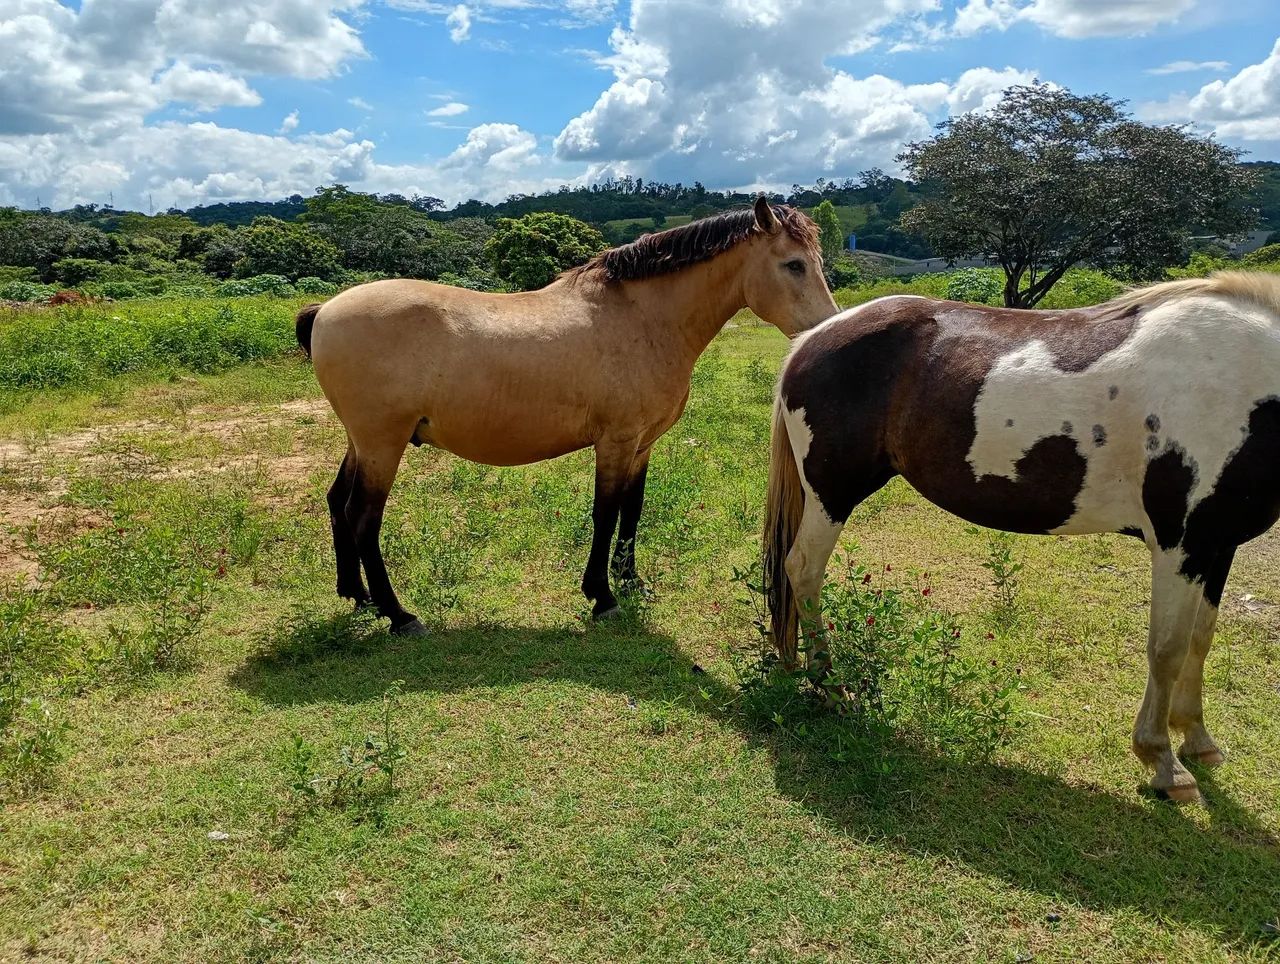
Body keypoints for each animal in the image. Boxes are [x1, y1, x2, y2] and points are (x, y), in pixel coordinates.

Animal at [298, 198, 835, 636]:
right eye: (793, 265)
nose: (825, 332)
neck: (642, 319)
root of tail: (325, 310)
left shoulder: (642, 444)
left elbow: (632, 509)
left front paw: (629, 578)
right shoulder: (616, 441)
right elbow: (605, 513)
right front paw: (602, 596)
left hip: (363, 443)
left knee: (337, 502)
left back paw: (359, 596)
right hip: (382, 444)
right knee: (362, 517)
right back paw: (399, 614)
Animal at [763, 272, 1280, 802]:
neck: (1245, 383)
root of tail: (813, 338)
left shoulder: (1218, 545)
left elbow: (1200, 638)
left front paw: (1197, 739)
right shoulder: (1181, 543)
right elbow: (1167, 648)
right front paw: (1163, 761)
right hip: (831, 494)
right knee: (804, 571)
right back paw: (829, 687)